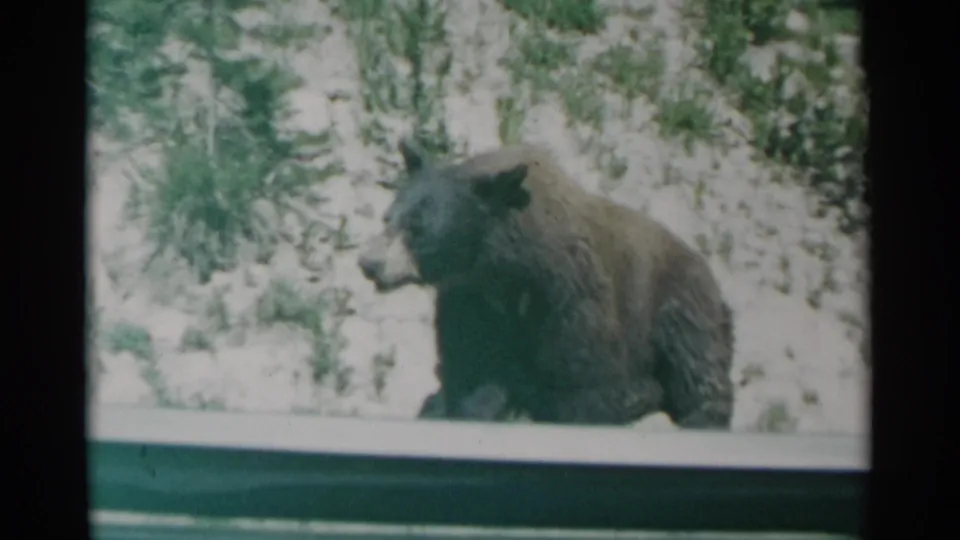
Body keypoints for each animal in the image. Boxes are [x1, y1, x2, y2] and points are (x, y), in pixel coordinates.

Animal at [357, 138, 736, 429]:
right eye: (389, 218)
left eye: (418, 230)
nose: (369, 264)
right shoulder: (471, 301)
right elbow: (473, 368)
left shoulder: (569, 297)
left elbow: (586, 375)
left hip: (679, 301)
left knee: (696, 365)